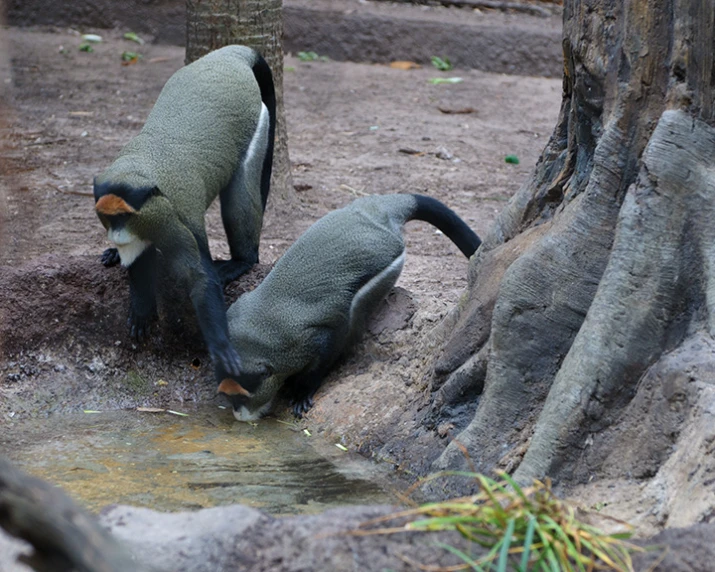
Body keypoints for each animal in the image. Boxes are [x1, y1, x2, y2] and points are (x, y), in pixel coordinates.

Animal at [93, 45, 276, 380]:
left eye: (124, 217)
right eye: (110, 218)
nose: (117, 235)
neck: (144, 167)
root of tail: (232, 54)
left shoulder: (177, 220)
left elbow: (199, 276)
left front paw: (220, 348)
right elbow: (140, 259)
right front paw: (141, 307)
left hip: (256, 125)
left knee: (240, 195)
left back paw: (242, 260)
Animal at [221, 194, 484, 422]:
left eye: (242, 397)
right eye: (228, 396)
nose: (237, 412)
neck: (259, 339)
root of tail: (373, 211)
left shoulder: (306, 340)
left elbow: (328, 345)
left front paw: (302, 392)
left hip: (387, 270)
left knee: (354, 312)